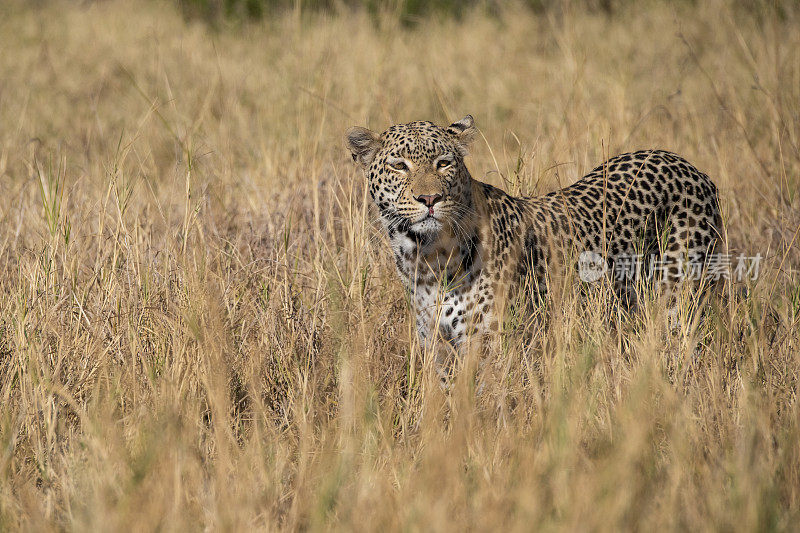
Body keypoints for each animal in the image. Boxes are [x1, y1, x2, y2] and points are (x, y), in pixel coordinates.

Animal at [344, 114, 724, 360]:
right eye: (399, 166)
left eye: (443, 163)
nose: (430, 199)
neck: (426, 257)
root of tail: (688, 165)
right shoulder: (436, 344)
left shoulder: (489, 344)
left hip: (681, 297)